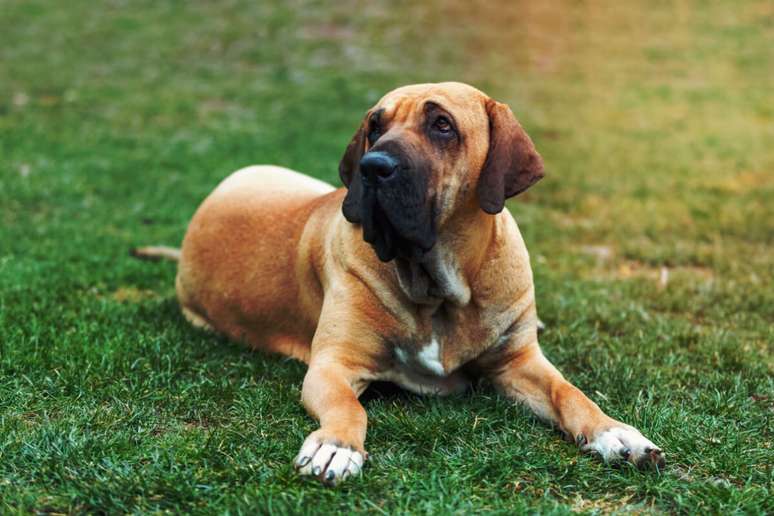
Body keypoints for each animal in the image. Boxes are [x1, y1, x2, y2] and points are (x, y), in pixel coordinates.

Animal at [135, 80, 668, 484]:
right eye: (375, 126)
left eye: (442, 125)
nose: (372, 168)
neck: (439, 286)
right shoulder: (332, 366)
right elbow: (349, 407)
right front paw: (336, 446)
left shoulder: (517, 362)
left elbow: (569, 392)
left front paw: (616, 433)